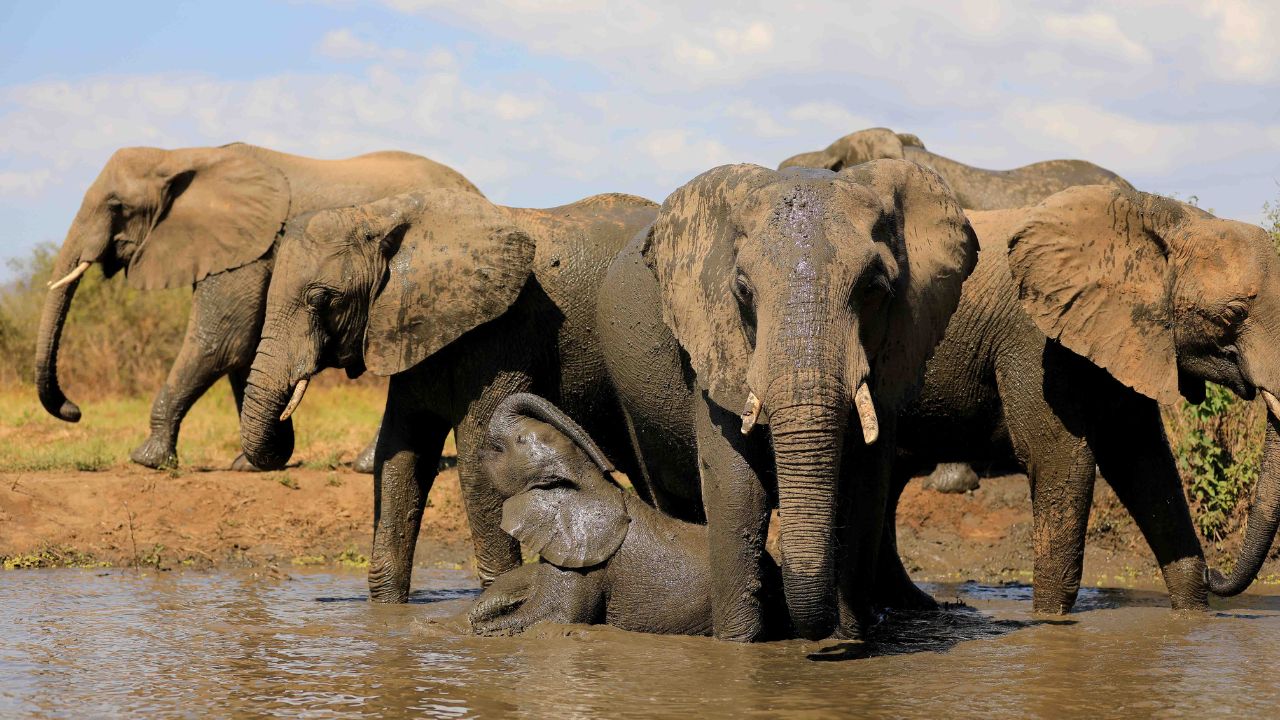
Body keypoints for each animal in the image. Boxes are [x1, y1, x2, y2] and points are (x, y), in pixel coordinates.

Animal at [34, 143, 481, 471]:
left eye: (116, 206)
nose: (74, 410)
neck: (182, 155)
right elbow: (245, 348)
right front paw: (249, 464)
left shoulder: (247, 251)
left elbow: (221, 342)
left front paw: (146, 460)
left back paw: (366, 466)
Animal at [237, 188, 659, 602]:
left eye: (322, 299)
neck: (381, 213)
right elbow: (402, 453)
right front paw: (387, 609)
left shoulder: (503, 331)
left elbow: (478, 460)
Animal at [596, 159, 979, 640]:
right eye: (742, 289)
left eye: (875, 289)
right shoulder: (715, 343)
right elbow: (737, 488)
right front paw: (739, 645)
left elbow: (865, 486)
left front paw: (852, 638)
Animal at [877, 185, 1280, 615]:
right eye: (1234, 313)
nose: (1215, 573)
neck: (1159, 216)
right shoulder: (1034, 339)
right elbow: (1063, 458)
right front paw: (1050, 622)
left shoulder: (1125, 336)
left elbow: (1144, 462)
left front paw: (1190, 618)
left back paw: (916, 606)